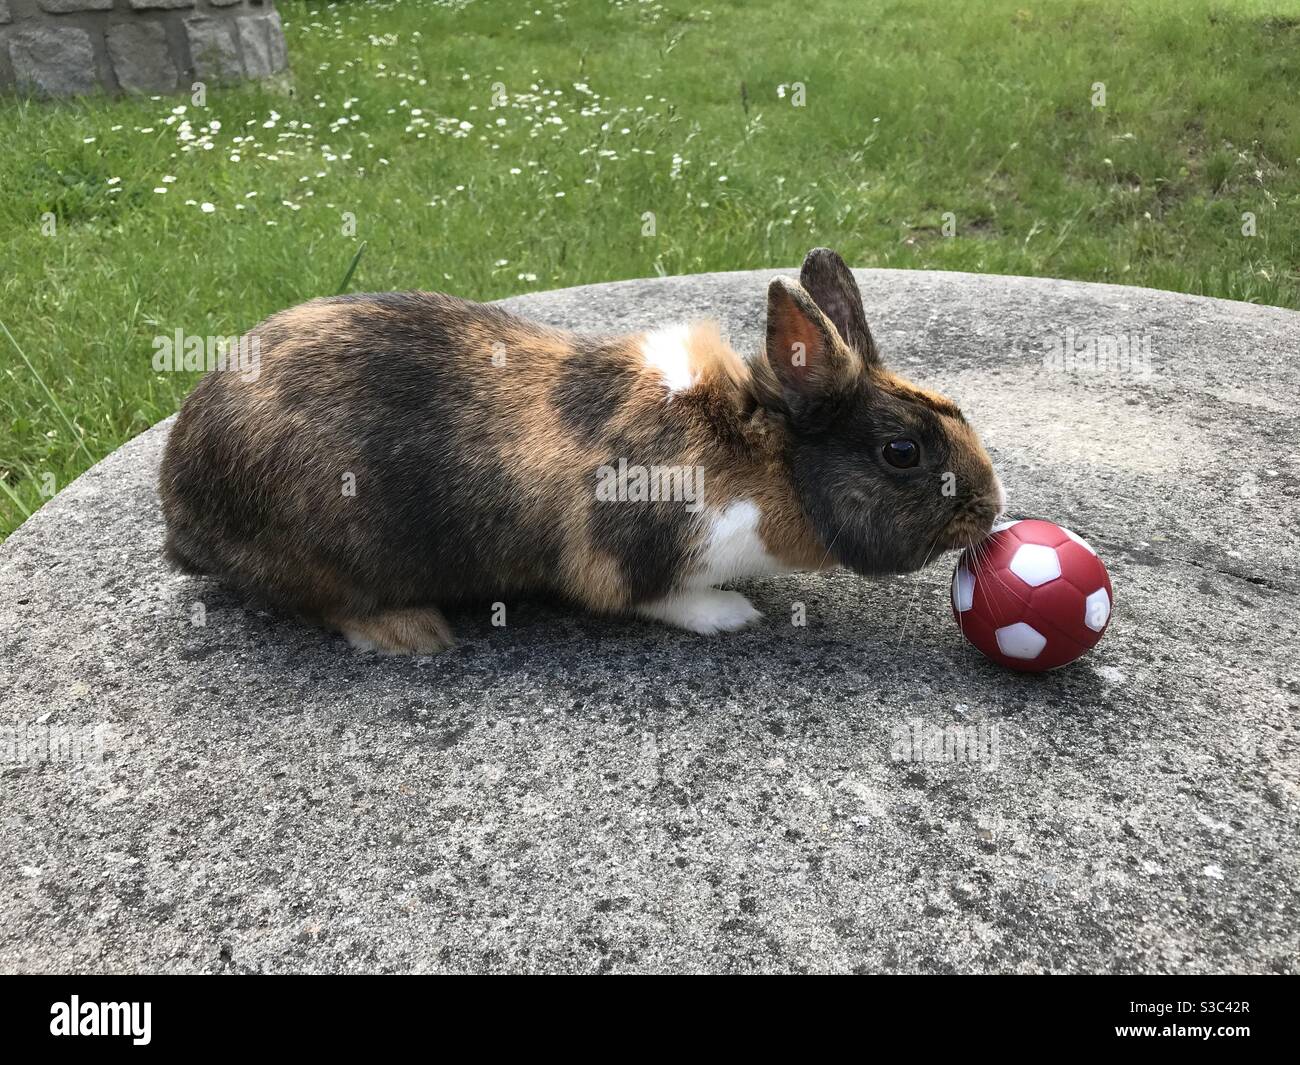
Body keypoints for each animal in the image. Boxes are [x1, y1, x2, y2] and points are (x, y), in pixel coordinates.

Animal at [159, 247, 1004, 655]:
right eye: (902, 452)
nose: (990, 509)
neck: (767, 457)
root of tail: (180, 506)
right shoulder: (633, 551)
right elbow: (657, 597)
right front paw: (731, 615)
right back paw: (411, 634)